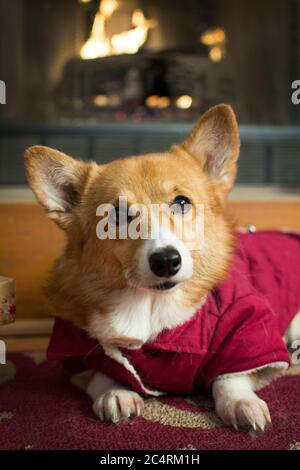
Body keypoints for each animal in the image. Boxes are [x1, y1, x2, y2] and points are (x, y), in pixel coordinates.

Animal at [25, 104, 300, 432]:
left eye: (181, 202)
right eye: (117, 215)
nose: (166, 260)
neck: (151, 307)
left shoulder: (247, 328)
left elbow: (229, 376)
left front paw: (241, 404)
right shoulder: (74, 348)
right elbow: (103, 370)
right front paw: (116, 394)